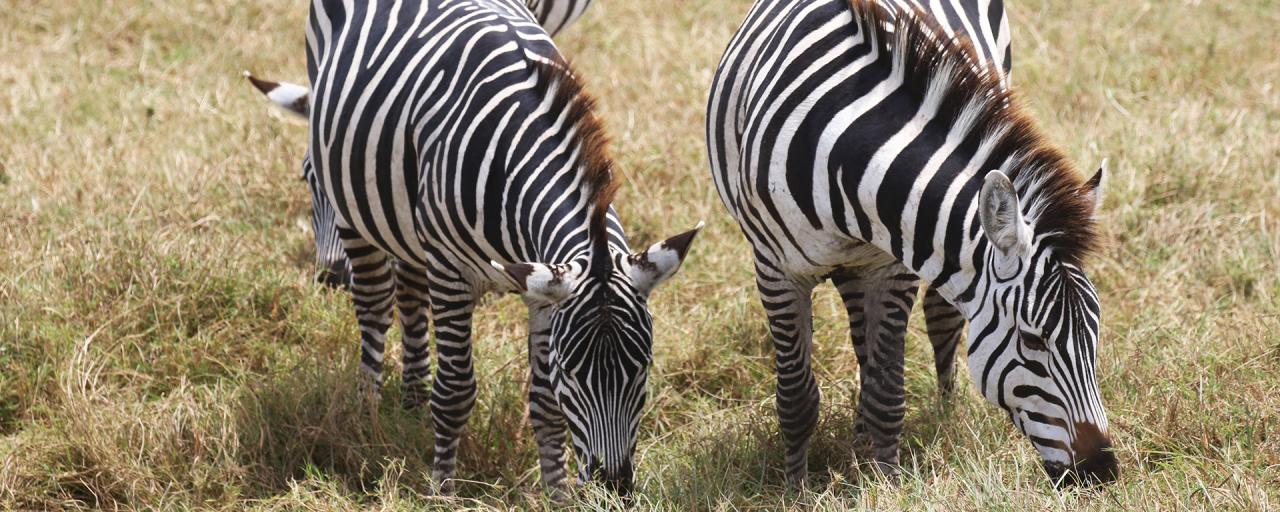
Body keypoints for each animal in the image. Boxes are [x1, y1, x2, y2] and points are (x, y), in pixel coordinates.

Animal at [299, 0, 701, 496]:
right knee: (374, 306)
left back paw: (410, 403)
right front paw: (443, 491)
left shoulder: (544, 288)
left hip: (410, 226)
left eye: (643, 367)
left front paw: (557, 494)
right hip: (351, 206)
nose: (614, 486)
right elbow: (455, 392)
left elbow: (546, 404)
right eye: (572, 372)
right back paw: (367, 418)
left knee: (408, 292)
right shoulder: (451, 271)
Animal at [706, 0, 1116, 488]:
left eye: (1095, 332)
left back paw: (927, 420)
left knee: (933, 324)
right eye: (1033, 341)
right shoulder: (777, 270)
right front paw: (797, 490)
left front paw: (884, 483)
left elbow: (886, 389)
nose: (1103, 471)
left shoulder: (893, 265)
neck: (847, 153)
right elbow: (796, 397)